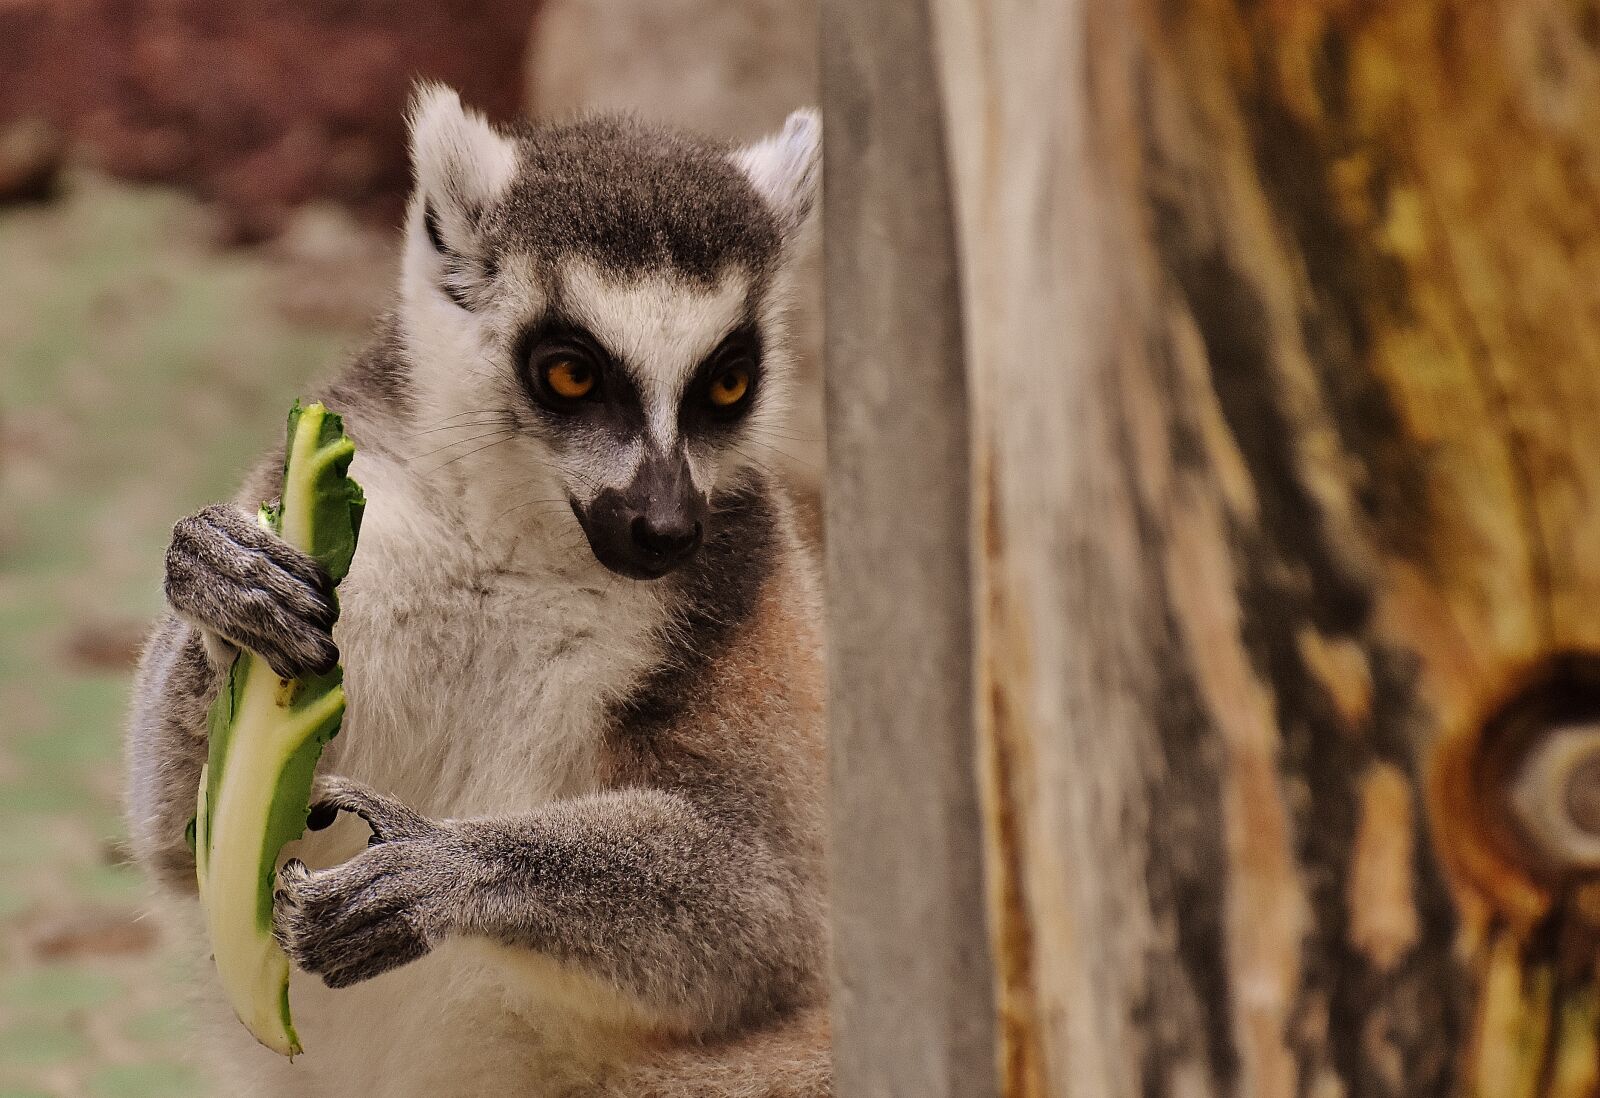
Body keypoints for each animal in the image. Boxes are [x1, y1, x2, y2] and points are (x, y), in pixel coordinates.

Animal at [125, 84, 830, 1097]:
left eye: (728, 385)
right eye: (571, 372)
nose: (665, 528)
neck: (512, 542)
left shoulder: (740, 586)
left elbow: (774, 915)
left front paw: (445, 871)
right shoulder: (374, 520)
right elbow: (177, 843)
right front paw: (224, 586)